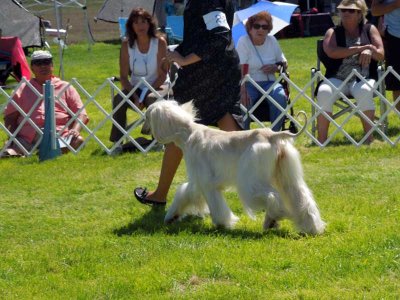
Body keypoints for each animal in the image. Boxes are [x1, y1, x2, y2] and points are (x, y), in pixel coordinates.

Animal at [142, 99, 326, 236]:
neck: (188, 135)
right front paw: (171, 216)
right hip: (285, 175)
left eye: (146, 116)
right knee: (301, 199)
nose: (143, 130)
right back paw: (312, 228)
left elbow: (215, 205)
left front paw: (222, 223)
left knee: (273, 197)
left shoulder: (206, 181)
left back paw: (272, 219)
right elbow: (185, 193)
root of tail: (272, 135)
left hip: (252, 178)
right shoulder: (197, 181)